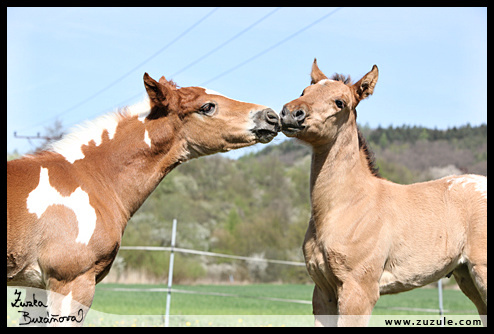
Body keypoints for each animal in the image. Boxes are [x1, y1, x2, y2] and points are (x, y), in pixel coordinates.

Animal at [280, 60, 488, 326]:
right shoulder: (323, 292)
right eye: (304, 91)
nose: (291, 113)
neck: (346, 206)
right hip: (467, 276)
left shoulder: (359, 289)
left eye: (340, 102)